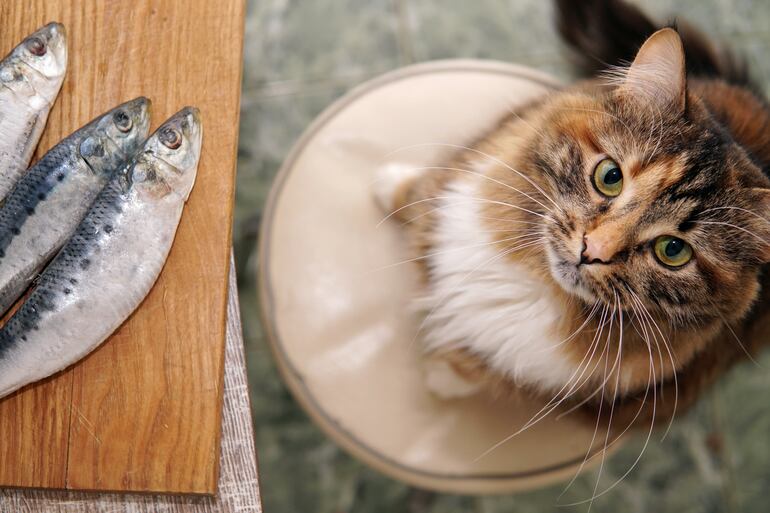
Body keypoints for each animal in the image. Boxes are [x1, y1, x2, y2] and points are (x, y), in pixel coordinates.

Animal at [376, 0, 768, 432]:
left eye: (672, 250)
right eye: (610, 177)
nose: (592, 249)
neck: (532, 279)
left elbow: (477, 369)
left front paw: (440, 378)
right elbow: (423, 192)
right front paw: (386, 187)